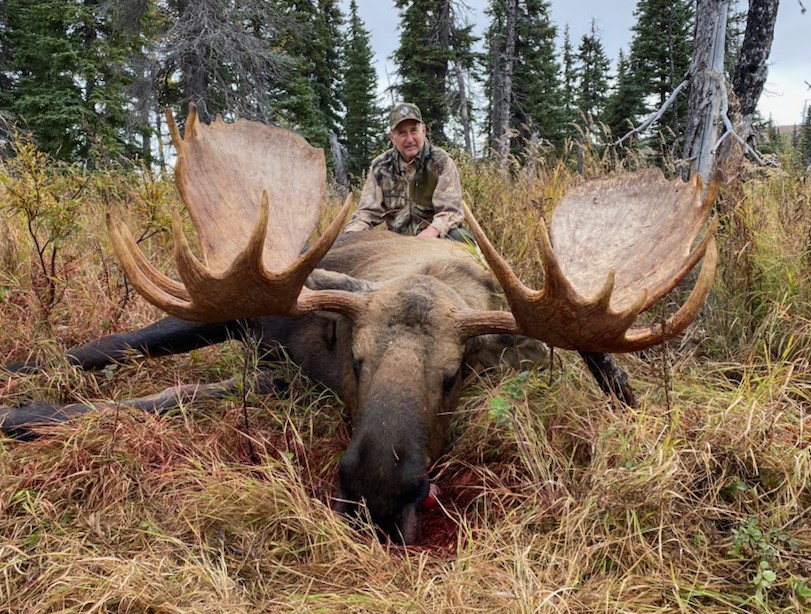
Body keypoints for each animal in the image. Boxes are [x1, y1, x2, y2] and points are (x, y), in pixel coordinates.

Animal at [0, 107, 718, 544]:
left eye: (457, 374)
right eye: (357, 356)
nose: (378, 489)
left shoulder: (282, 379)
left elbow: (173, 396)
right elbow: (134, 372)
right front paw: (22, 404)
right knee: (110, 345)